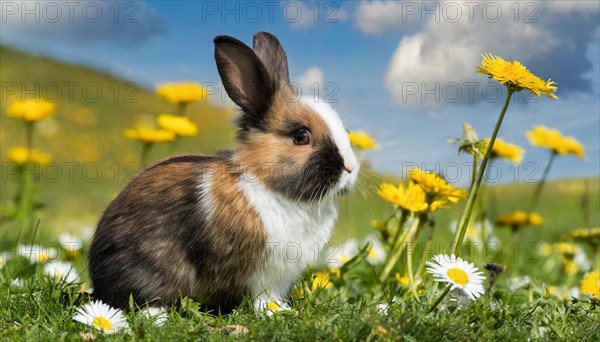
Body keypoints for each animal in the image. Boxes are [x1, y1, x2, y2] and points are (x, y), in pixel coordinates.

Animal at [88, 32, 358, 312]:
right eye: (301, 136)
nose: (350, 168)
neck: (266, 184)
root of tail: (97, 277)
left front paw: (282, 309)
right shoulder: (260, 272)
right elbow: (262, 296)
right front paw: (273, 312)